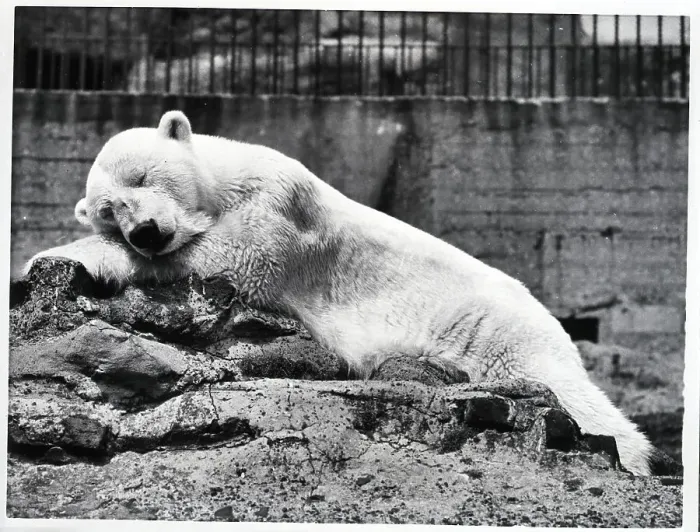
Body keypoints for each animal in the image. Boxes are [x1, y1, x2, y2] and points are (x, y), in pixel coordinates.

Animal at [26, 110, 654, 475]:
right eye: (110, 212)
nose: (145, 232)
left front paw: (56, 255)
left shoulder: (281, 204)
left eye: (142, 178)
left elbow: (239, 254)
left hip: (497, 330)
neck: (225, 180)